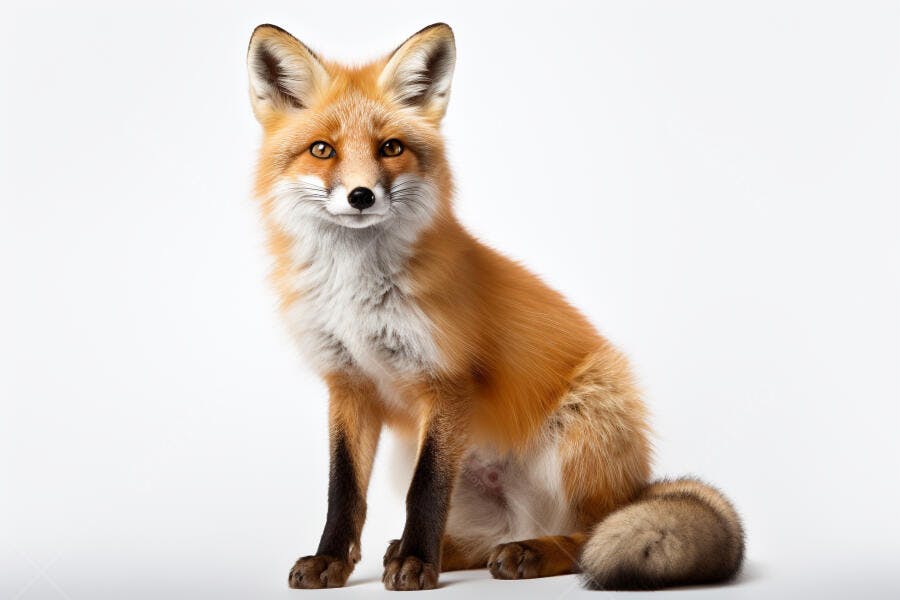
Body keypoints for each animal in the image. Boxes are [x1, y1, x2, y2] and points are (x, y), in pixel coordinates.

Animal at [246, 23, 744, 591]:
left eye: (391, 147)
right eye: (322, 150)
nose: (361, 196)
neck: (356, 296)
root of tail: (633, 487)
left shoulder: (447, 381)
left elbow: (426, 490)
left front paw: (415, 565)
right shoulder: (348, 383)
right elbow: (343, 490)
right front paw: (332, 560)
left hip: (583, 425)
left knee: (588, 536)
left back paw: (526, 552)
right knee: (486, 540)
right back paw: (449, 549)